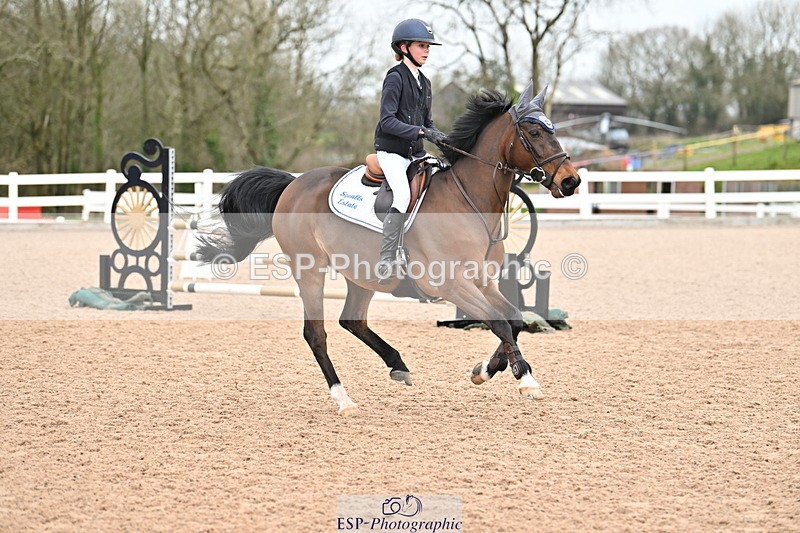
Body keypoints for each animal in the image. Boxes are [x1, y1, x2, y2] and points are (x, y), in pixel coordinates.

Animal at [197, 82, 580, 415]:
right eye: (534, 133)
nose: (571, 181)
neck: (468, 202)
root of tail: (293, 184)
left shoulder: (484, 282)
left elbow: (513, 319)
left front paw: (486, 370)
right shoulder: (451, 285)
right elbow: (499, 322)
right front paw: (524, 380)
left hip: (361, 275)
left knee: (352, 319)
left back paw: (398, 365)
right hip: (310, 271)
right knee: (316, 334)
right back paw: (344, 400)